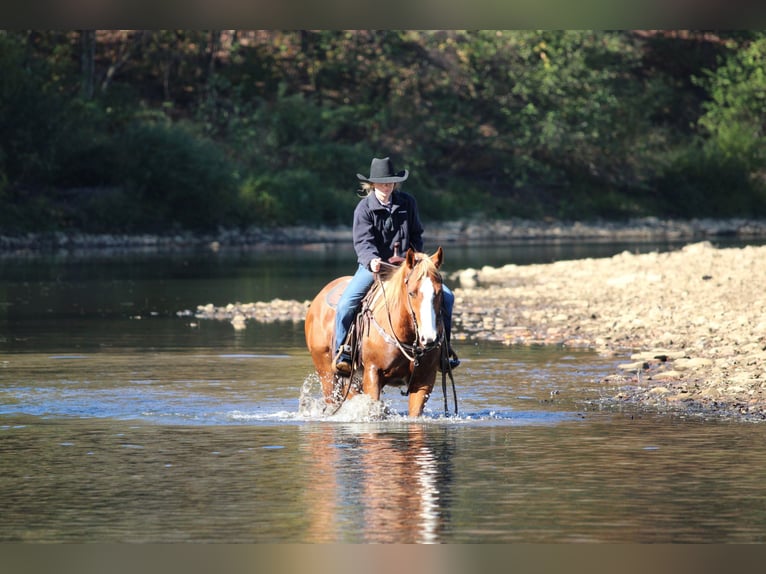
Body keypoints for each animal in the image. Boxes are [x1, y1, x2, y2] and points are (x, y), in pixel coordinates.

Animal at [305, 247, 446, 418]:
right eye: (412, 293)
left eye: (439, 292)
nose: (429, 339)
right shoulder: (373, 373)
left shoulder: (424, 379)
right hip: (327, 374)